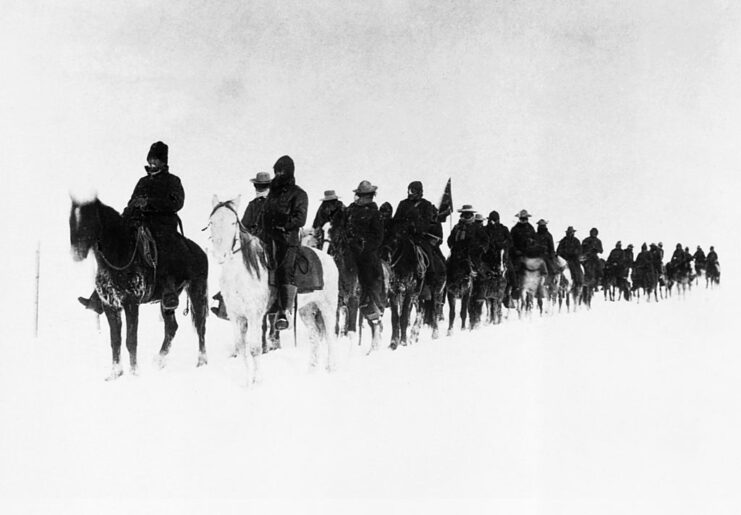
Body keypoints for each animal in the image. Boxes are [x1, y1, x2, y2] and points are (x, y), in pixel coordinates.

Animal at [69, 197, 208, 378]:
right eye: (71, 220)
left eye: (89, 219)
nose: (76, 252)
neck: (119, 257)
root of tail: (200, 252)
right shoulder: (110, 306)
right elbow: (115, 341)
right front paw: (115, 374)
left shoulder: (131, 304)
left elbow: (131, 340)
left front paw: (134, 373)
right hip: (167, 302)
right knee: (171, 327)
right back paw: (159, 361)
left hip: (197, 291)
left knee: (200, 326)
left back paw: (201, 362)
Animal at [205, 196, 338, 384]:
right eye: (212, 222)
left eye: (233, 222)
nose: (220, 255)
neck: (241, 274)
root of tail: (328, 258)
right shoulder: (236, 316)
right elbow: (240, 348)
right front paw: (246, 381)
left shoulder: (254, 315)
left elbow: (254, 348)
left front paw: (257, 381)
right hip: (306, 310)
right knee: (314, 338)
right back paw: (311, 371)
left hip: (327, 307)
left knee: (331, 336)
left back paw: (331, 369)